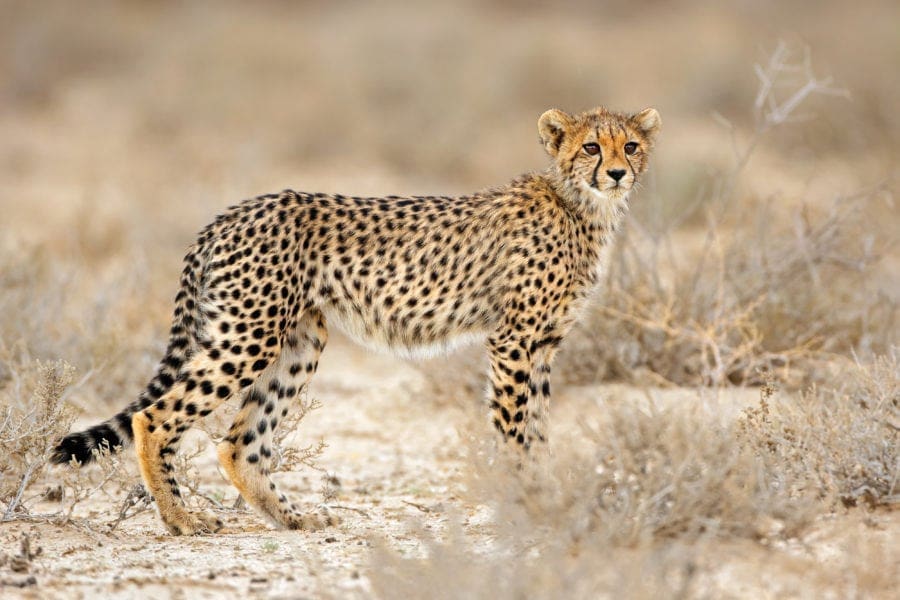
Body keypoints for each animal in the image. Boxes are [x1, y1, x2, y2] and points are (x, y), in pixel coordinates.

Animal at [53, 105, 660, 535]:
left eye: (630, 145)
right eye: (590, 146)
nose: (615, 172)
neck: (582, 205)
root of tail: (234, 211)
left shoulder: (544, 345)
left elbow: (537, 429)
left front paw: (547, 497)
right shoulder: (513, 341)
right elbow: (515, 431)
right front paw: (528, 502)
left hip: (298, 341)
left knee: (239, 442)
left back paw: (294, 518)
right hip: (249, 335)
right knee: (153, 417)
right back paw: (183, 519)